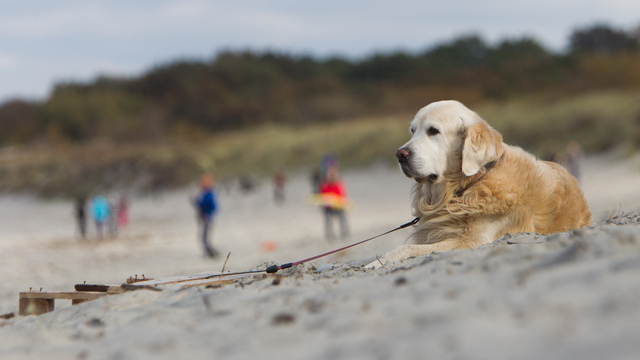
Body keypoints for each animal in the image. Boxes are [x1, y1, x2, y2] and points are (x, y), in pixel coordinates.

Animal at [372, 100, 592, 266]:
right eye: (412, 130)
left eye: (433, 131)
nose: (400, 154)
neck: (464, 188)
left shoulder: (473, 241)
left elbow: (404, 248)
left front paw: (377, 263)